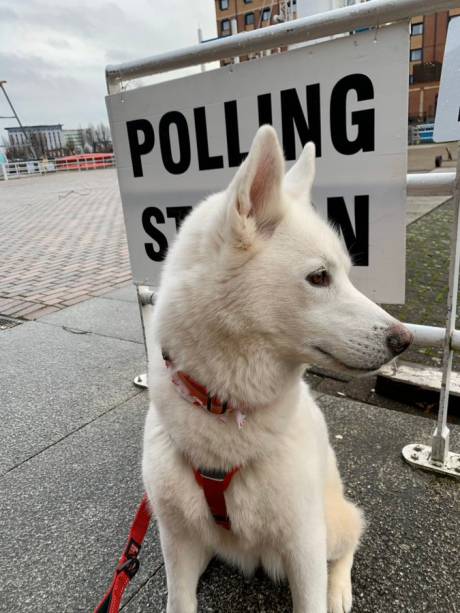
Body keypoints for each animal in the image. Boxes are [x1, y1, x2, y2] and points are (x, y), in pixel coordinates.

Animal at [142, 124, 412, 612]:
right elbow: (179, 599)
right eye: (320, 277)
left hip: (331, 525)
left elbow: (312, 597)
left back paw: (339, 589)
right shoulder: (176, 539)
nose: (405, 340)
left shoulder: (303, 544)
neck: (226, 411)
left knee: (353, 536)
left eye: (347, 273)